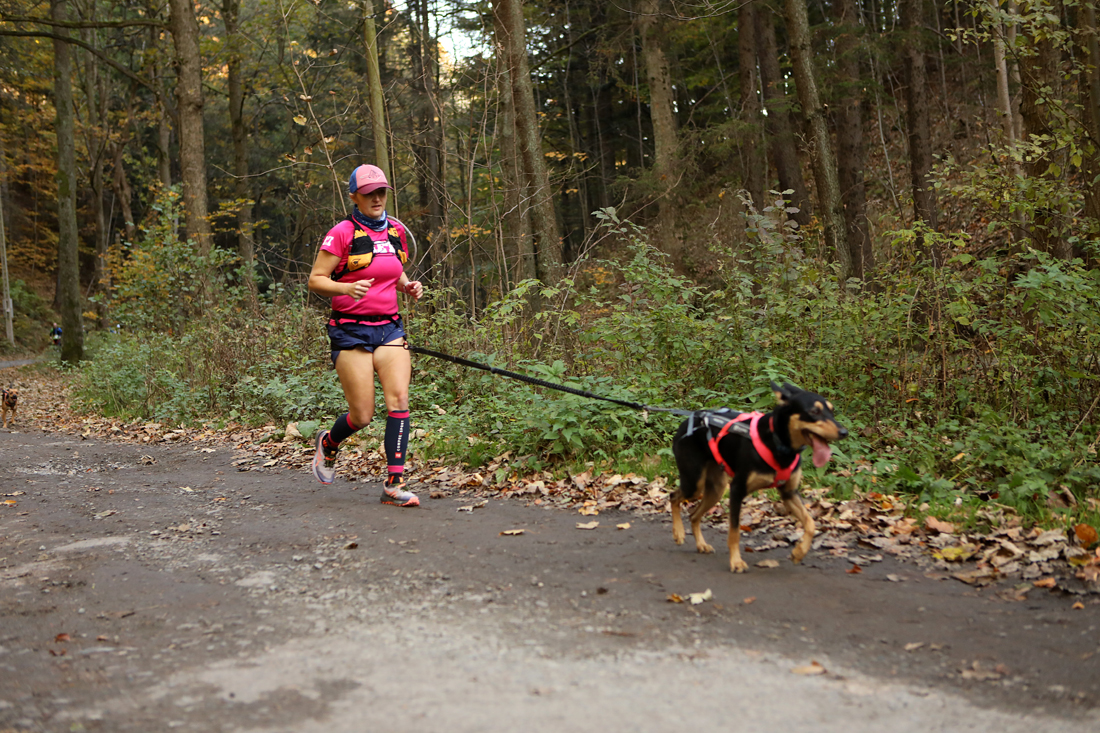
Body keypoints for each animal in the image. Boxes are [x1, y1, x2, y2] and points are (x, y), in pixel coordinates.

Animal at [670, 382, 847, 573]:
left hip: (716, 488)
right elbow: (734, 532)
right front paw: (736, 562)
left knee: (694, 515)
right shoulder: (737, 490)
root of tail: (690, 418)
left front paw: (799, 552)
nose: (844, 432)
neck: (778, 444)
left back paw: (701, 544)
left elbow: (810, 524)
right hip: (694, 483)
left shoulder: (789, 493)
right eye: (814, 411)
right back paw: (678, 532)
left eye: (832, 411)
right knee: (674, 496)